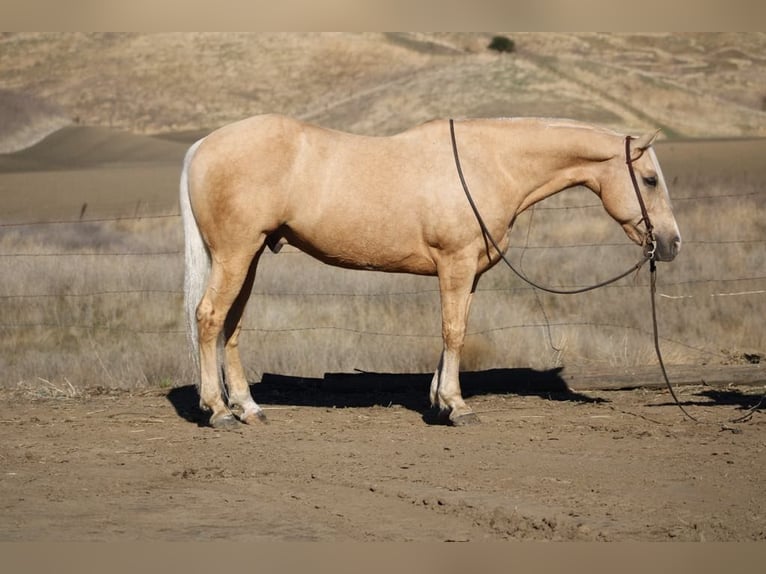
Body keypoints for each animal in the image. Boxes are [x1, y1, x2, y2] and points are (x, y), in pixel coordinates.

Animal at [180, 114, 681, 429]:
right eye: (651, 180)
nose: (672, 242)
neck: (487, 164)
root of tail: (203, 145)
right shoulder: (454, 263)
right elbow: (453, 331)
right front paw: (457, 407)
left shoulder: (469, 271)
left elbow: (455, 330)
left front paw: (440, 400)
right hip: (235, 254)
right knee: (209, 318)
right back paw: (218, 411)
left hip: (250, 256)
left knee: (231, 326)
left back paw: (248, 407)